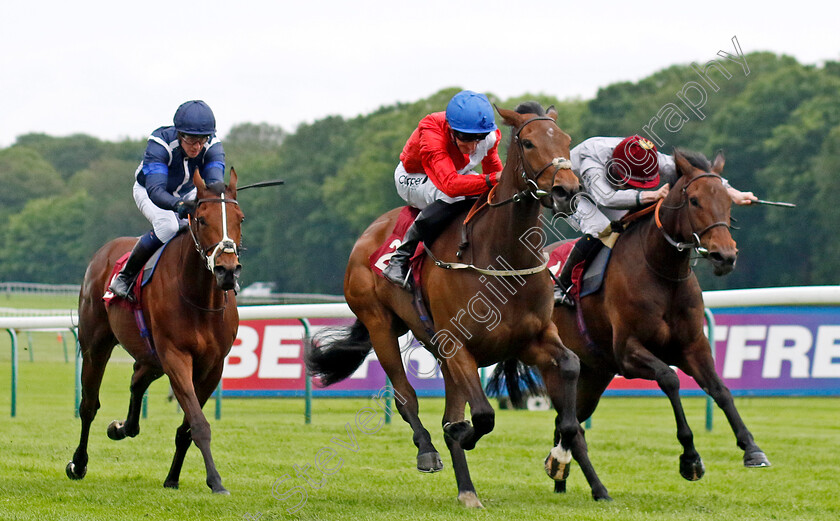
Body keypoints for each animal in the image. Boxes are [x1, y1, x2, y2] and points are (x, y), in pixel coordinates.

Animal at [65, 170, 243, 492]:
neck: (200, 298)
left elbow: (187, 427)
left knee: (137, 378)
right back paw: (79, 463)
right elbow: (198, 423)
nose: (227, 270)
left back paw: (121, 427)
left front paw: (173, 478)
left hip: (151, 357)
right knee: (89, 405)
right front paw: (215, 480)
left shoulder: (212, 366)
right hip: (96, 345)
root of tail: (103, 252)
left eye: (241, 218)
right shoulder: (175, 355)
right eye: (201, 219)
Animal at [306, 104, 612, 504]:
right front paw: (461, 435)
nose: (567, 190)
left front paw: (577, 472)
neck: (502, 258)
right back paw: (428, 451)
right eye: (528, 142)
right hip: (380, 325)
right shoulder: (459, 346)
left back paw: (467, 489)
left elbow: (572, 373)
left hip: (439, 351)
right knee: (406, 397)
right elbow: (481, 415)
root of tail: (369, 234)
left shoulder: (533, 339)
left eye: (565, 140)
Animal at [528, 152, 772, 486]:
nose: (725, 256)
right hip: (556, 365)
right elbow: (669, 379)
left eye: (727, 201)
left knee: (569, 421)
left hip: (594, 373)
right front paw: (690, 456)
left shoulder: (693, 346)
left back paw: (559, 469)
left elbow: (720, 390)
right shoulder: (629, 352)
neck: (662, 270)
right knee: (570, 423)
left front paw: (752, 448)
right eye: (694, 201)